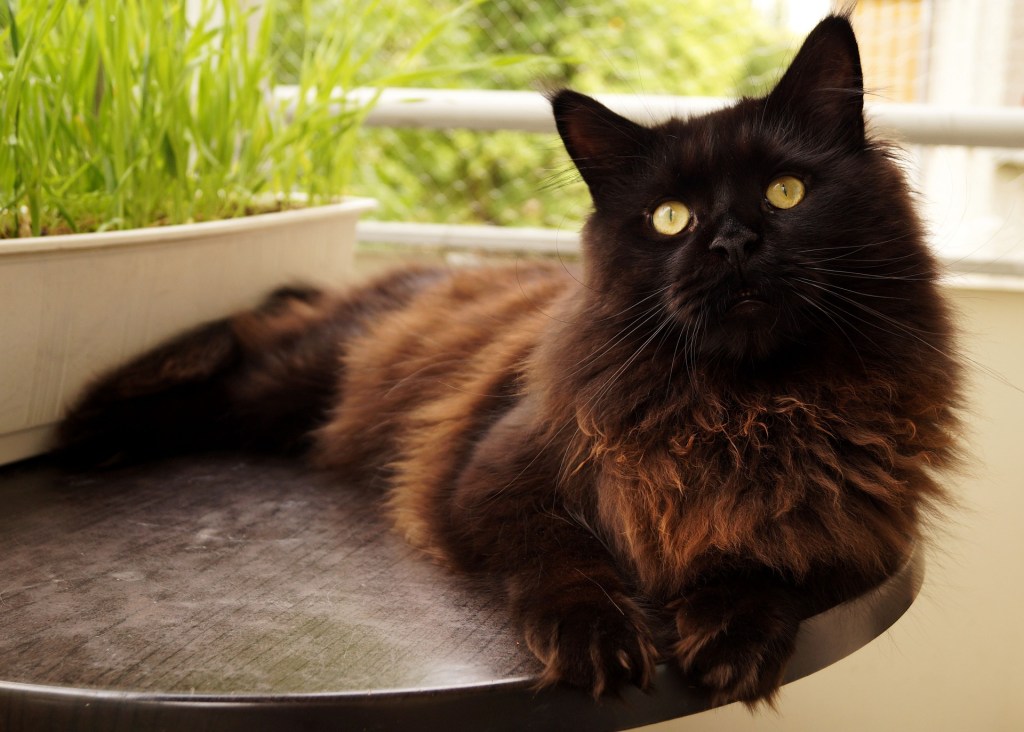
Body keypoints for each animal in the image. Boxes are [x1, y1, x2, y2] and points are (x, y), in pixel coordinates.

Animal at [61, 14, 958, 708]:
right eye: (670, 217)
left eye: (785, 193)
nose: (732, 241)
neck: (742, 407)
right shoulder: (493, 473)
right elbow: (562, 558)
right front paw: (598, 640)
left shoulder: (863, 528)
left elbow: (778, 564)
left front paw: (731, 635)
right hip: (293, 386)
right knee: (224, 365)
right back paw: (90, 437)